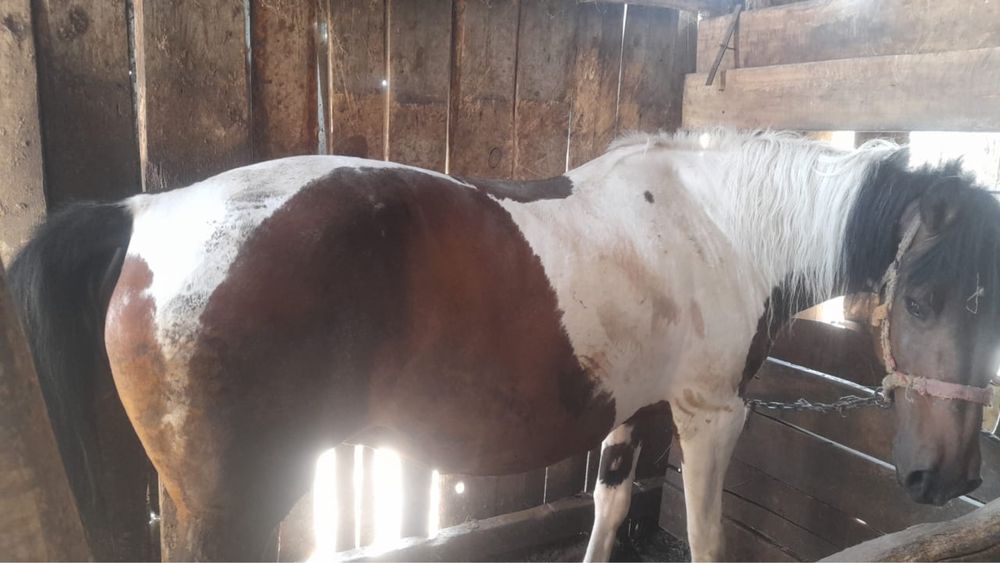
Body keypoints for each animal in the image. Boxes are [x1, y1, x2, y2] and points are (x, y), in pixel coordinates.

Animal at [9, 130, 1000, 562]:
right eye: (920, 296)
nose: (945, 478)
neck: (719, 223)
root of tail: (145, 213)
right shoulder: (711, 415)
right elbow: (711, 538)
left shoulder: (634, 410)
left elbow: (608, 509)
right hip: (234, 502)